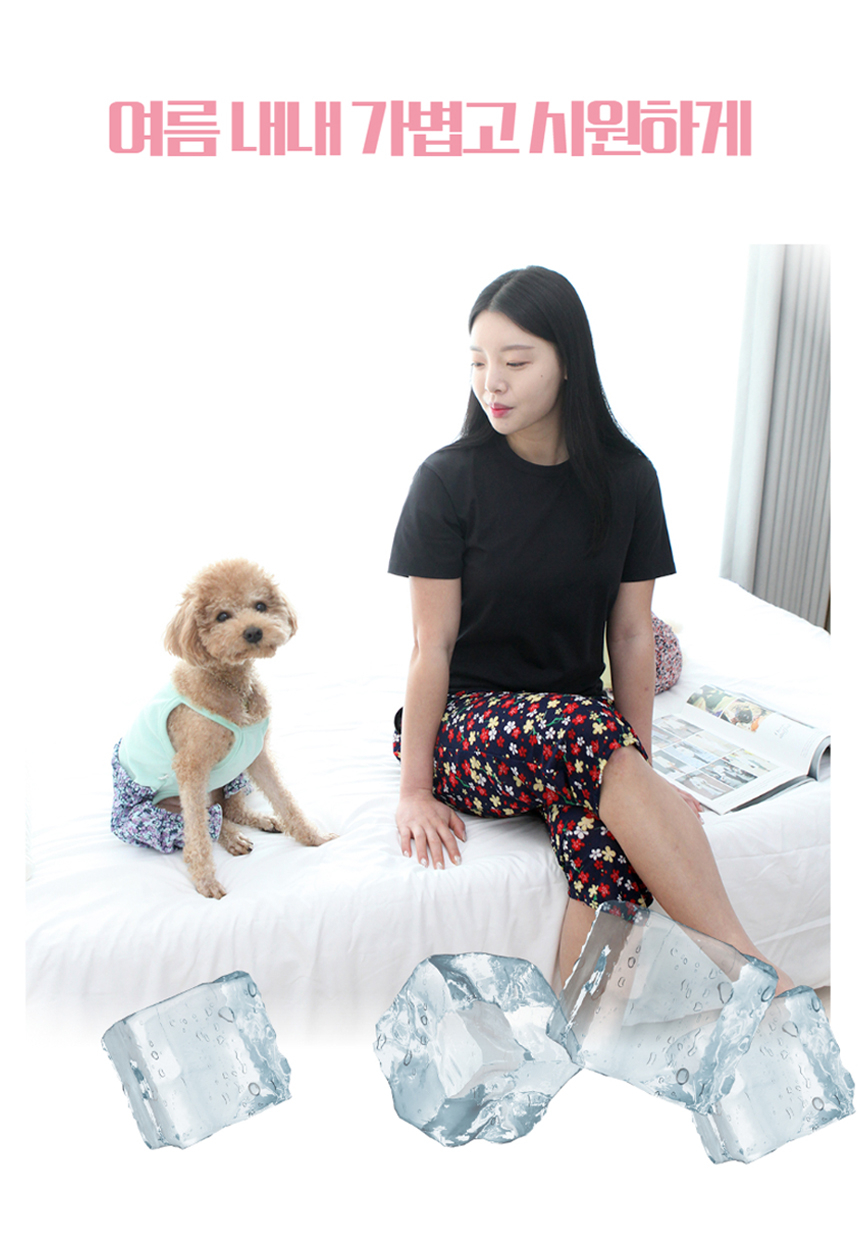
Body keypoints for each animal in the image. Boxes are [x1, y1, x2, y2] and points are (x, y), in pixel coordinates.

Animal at [111, 558, 334, 898]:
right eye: (222, 616)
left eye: (260, 605)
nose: (253, 631)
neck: (229, 683)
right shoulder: (191, 768)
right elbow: (198, 834)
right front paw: (205, 881)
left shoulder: (257, 756)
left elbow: (284, 798)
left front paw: (313, 838)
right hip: (158, 810)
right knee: (205, 819)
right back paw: (232, 838)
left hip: (234, 776)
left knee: (229, 809)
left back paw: (261, 822)